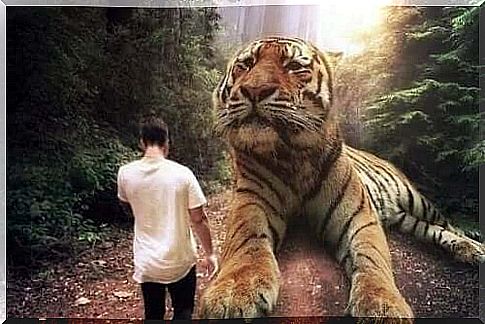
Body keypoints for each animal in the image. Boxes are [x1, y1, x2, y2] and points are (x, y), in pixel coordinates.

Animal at [198, 36, 484, 322]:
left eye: (294, 66)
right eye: (246, 65)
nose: (254, 90)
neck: (292, 155)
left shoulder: (360, 217)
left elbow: (372, 257)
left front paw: (383, 305)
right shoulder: (252, 203)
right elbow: (248, 243)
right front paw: (233, 294)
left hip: (417, 200)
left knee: (448, 224)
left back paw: (474, 248)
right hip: (405, 218)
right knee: (430, 228)